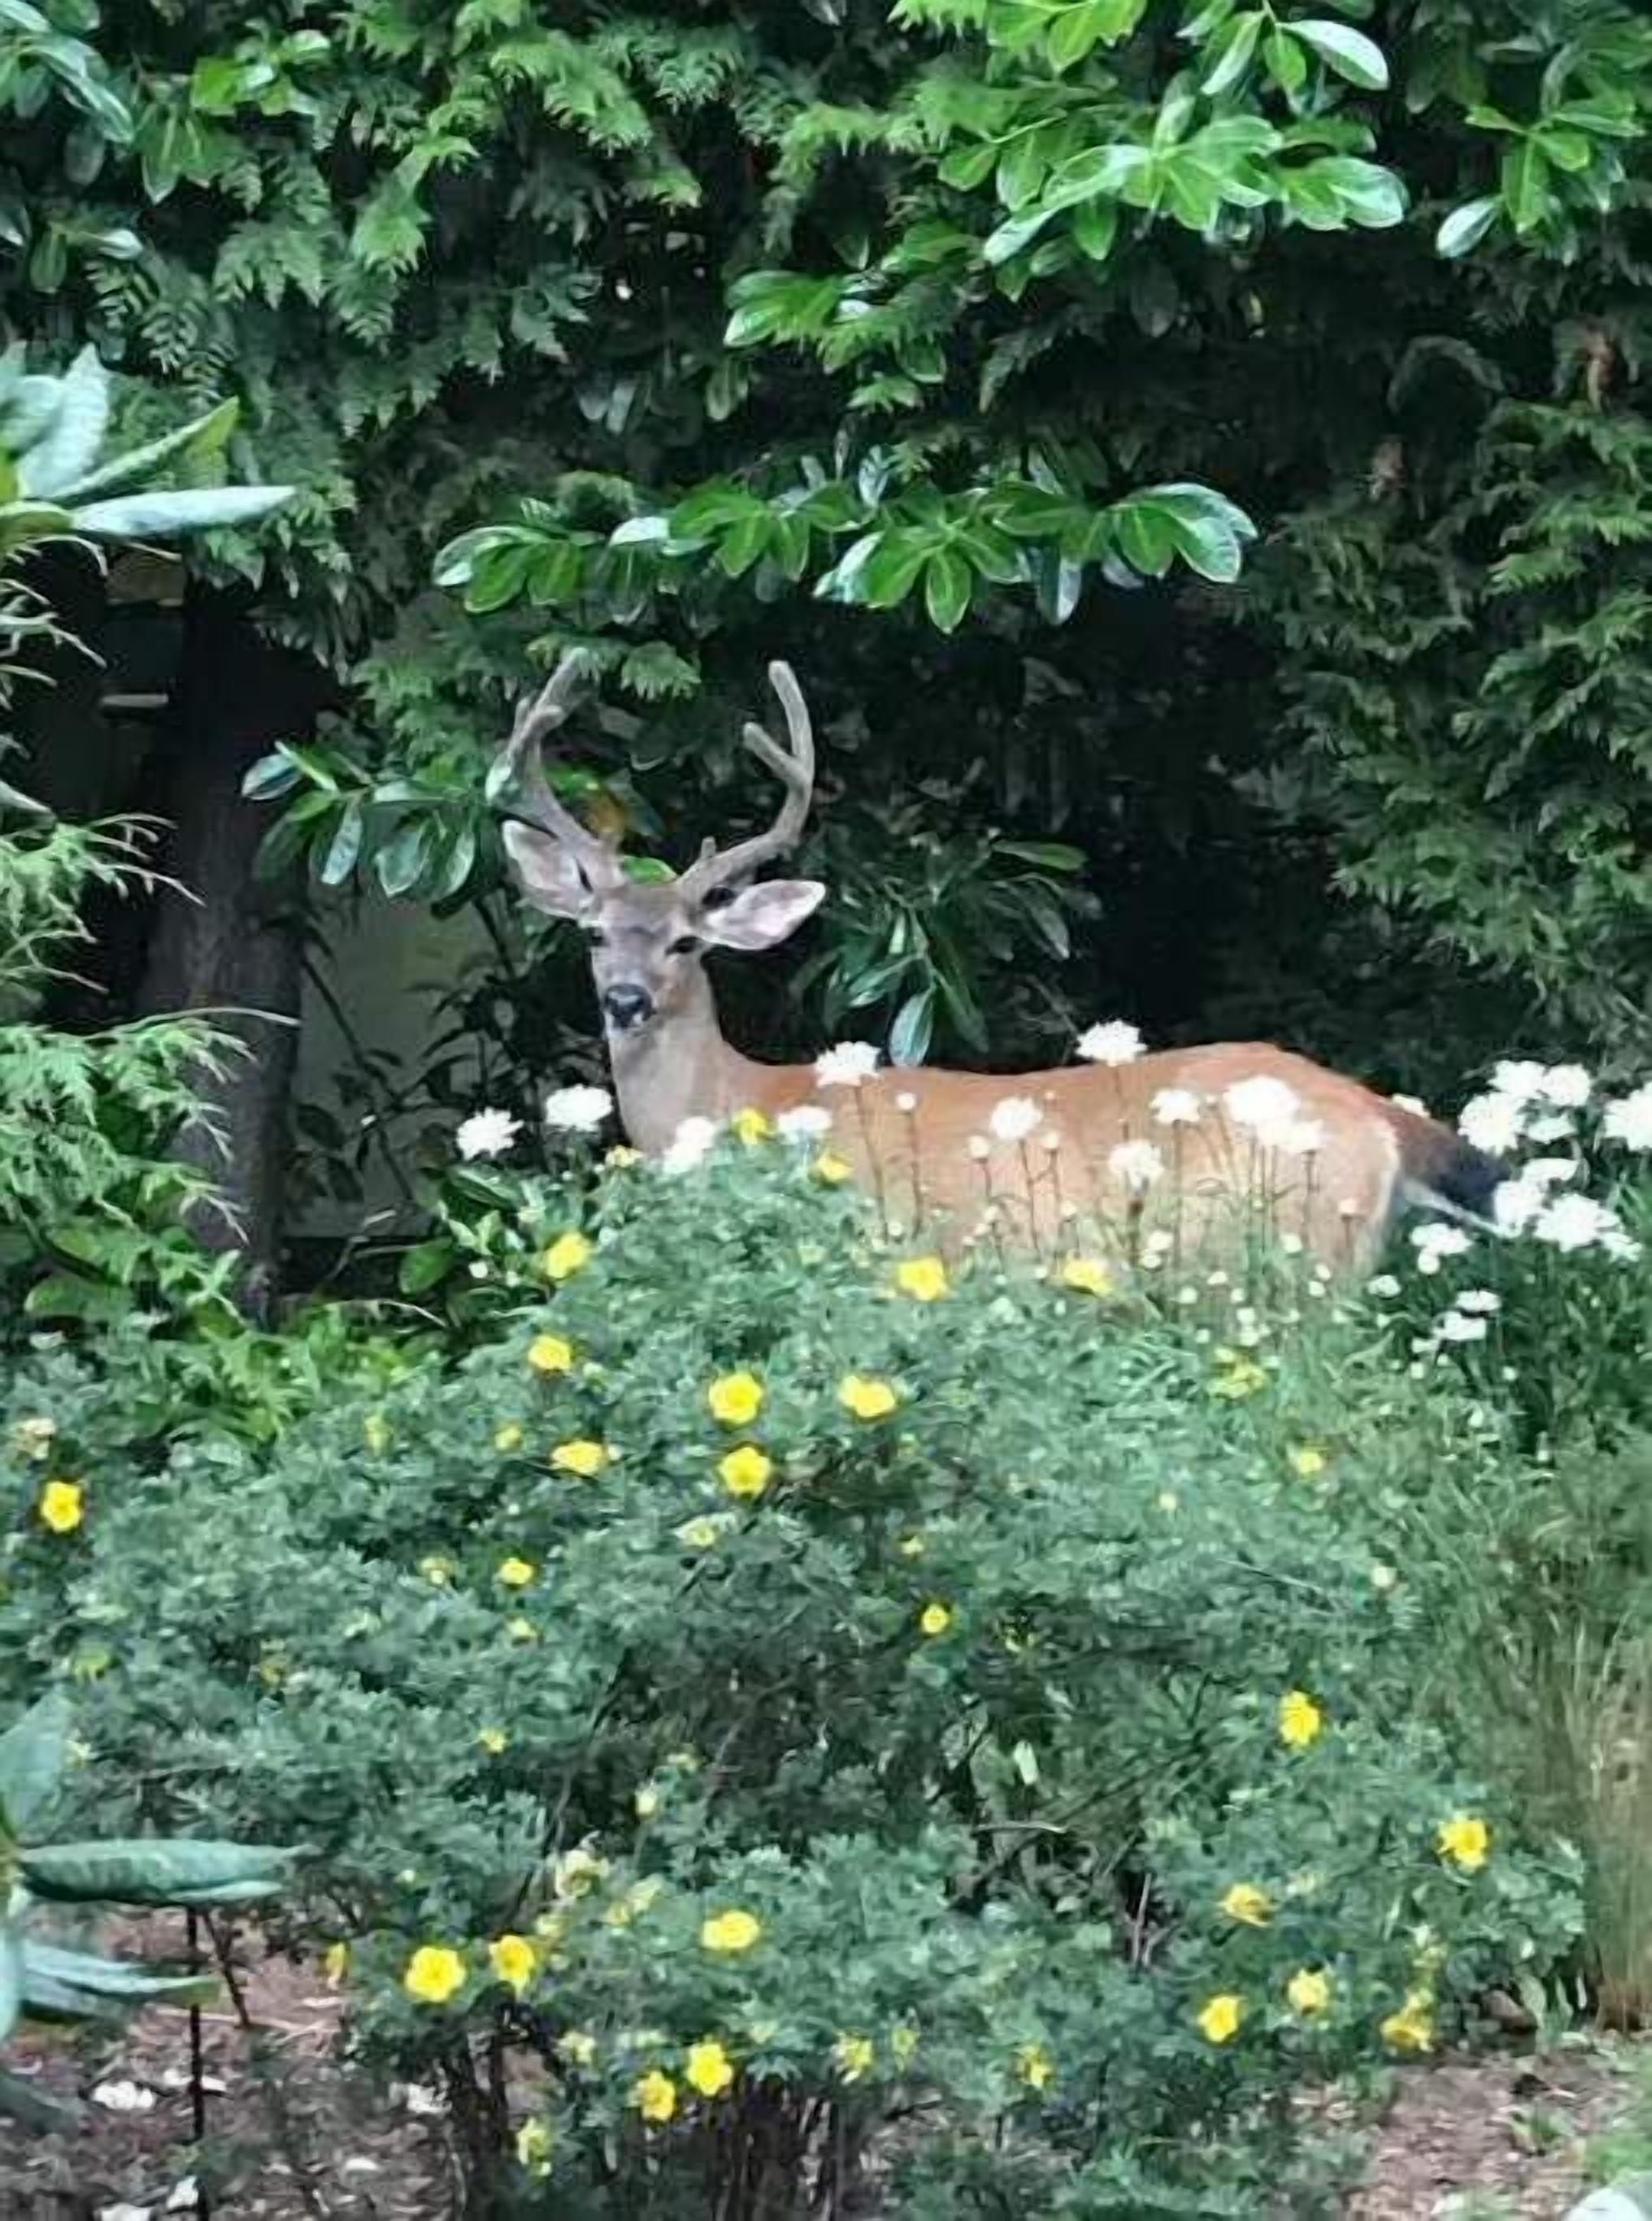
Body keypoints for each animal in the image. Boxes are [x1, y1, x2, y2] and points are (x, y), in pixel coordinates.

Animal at [495, 655, 1501, 1273]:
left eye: (687, 940)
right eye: (594, 933)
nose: (627, 999)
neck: (745, 1103)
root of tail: (1377, 1114)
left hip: (1278, 1260)